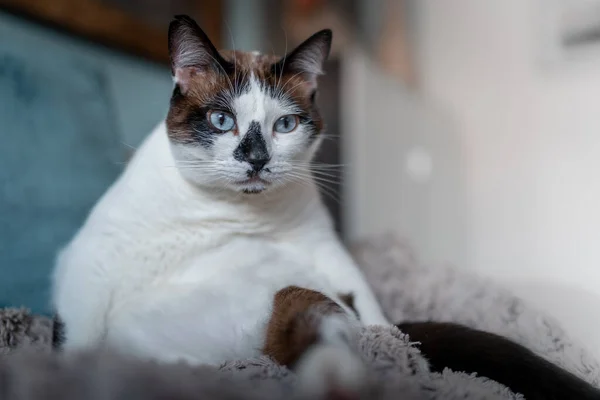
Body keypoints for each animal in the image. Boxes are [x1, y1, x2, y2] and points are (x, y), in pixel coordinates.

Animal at [51, 14, 390, 396]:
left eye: (285, 124)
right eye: (222, 120)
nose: (257, 159)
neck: (233, 210)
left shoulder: (321, 244)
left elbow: (372, 309)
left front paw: (386, 336)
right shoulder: (93, 258)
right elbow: (77, 344)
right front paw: (72, 377)